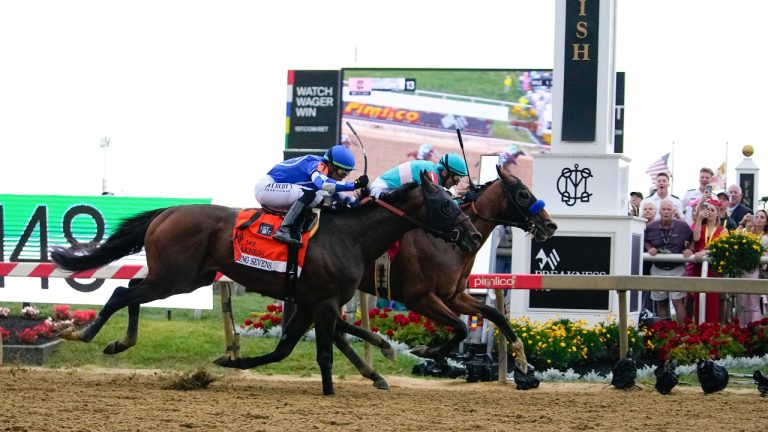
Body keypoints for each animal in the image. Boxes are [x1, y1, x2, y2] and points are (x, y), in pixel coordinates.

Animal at [50, 171, 481, 395]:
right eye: (446, 205)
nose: (474, 236)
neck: (351, 236)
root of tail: (167, 211)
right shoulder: (325, 302)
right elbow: (323, 352)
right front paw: (331, 390)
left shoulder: (310, 302)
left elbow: (286, 349)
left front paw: (230, 360)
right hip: (175, 277)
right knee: (122, 292)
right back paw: (86, 333)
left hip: (183, 277)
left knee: (131, 292)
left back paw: (118, 341)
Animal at [343, 165, 557, 378]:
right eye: (523, 194)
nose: (550, 225)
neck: (447, 244)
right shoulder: (419, 298)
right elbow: (461, 328)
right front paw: (428, 351)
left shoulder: (454, 296)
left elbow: (494, 314)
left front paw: (522, 360)